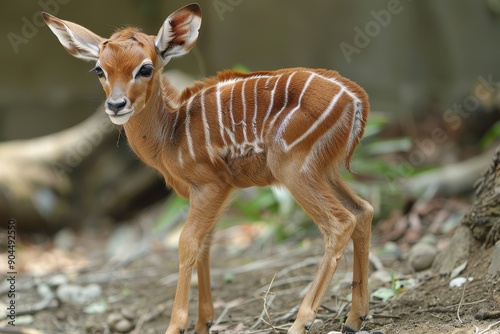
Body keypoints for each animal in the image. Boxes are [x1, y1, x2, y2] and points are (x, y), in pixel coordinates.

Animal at [44, 3, 372, 334]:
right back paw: (354, 318)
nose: (115, 105)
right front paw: (204, 322)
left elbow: (187, 243)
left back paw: (301, 322)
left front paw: (177, 325)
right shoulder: (213, 193)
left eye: (145, 68)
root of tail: (358, 100)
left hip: (294, 169)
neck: (171, 131)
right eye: (100, 69)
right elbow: (205, 244)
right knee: (363, 210)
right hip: (324, 171)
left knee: (339, 223)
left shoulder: (211, 185)